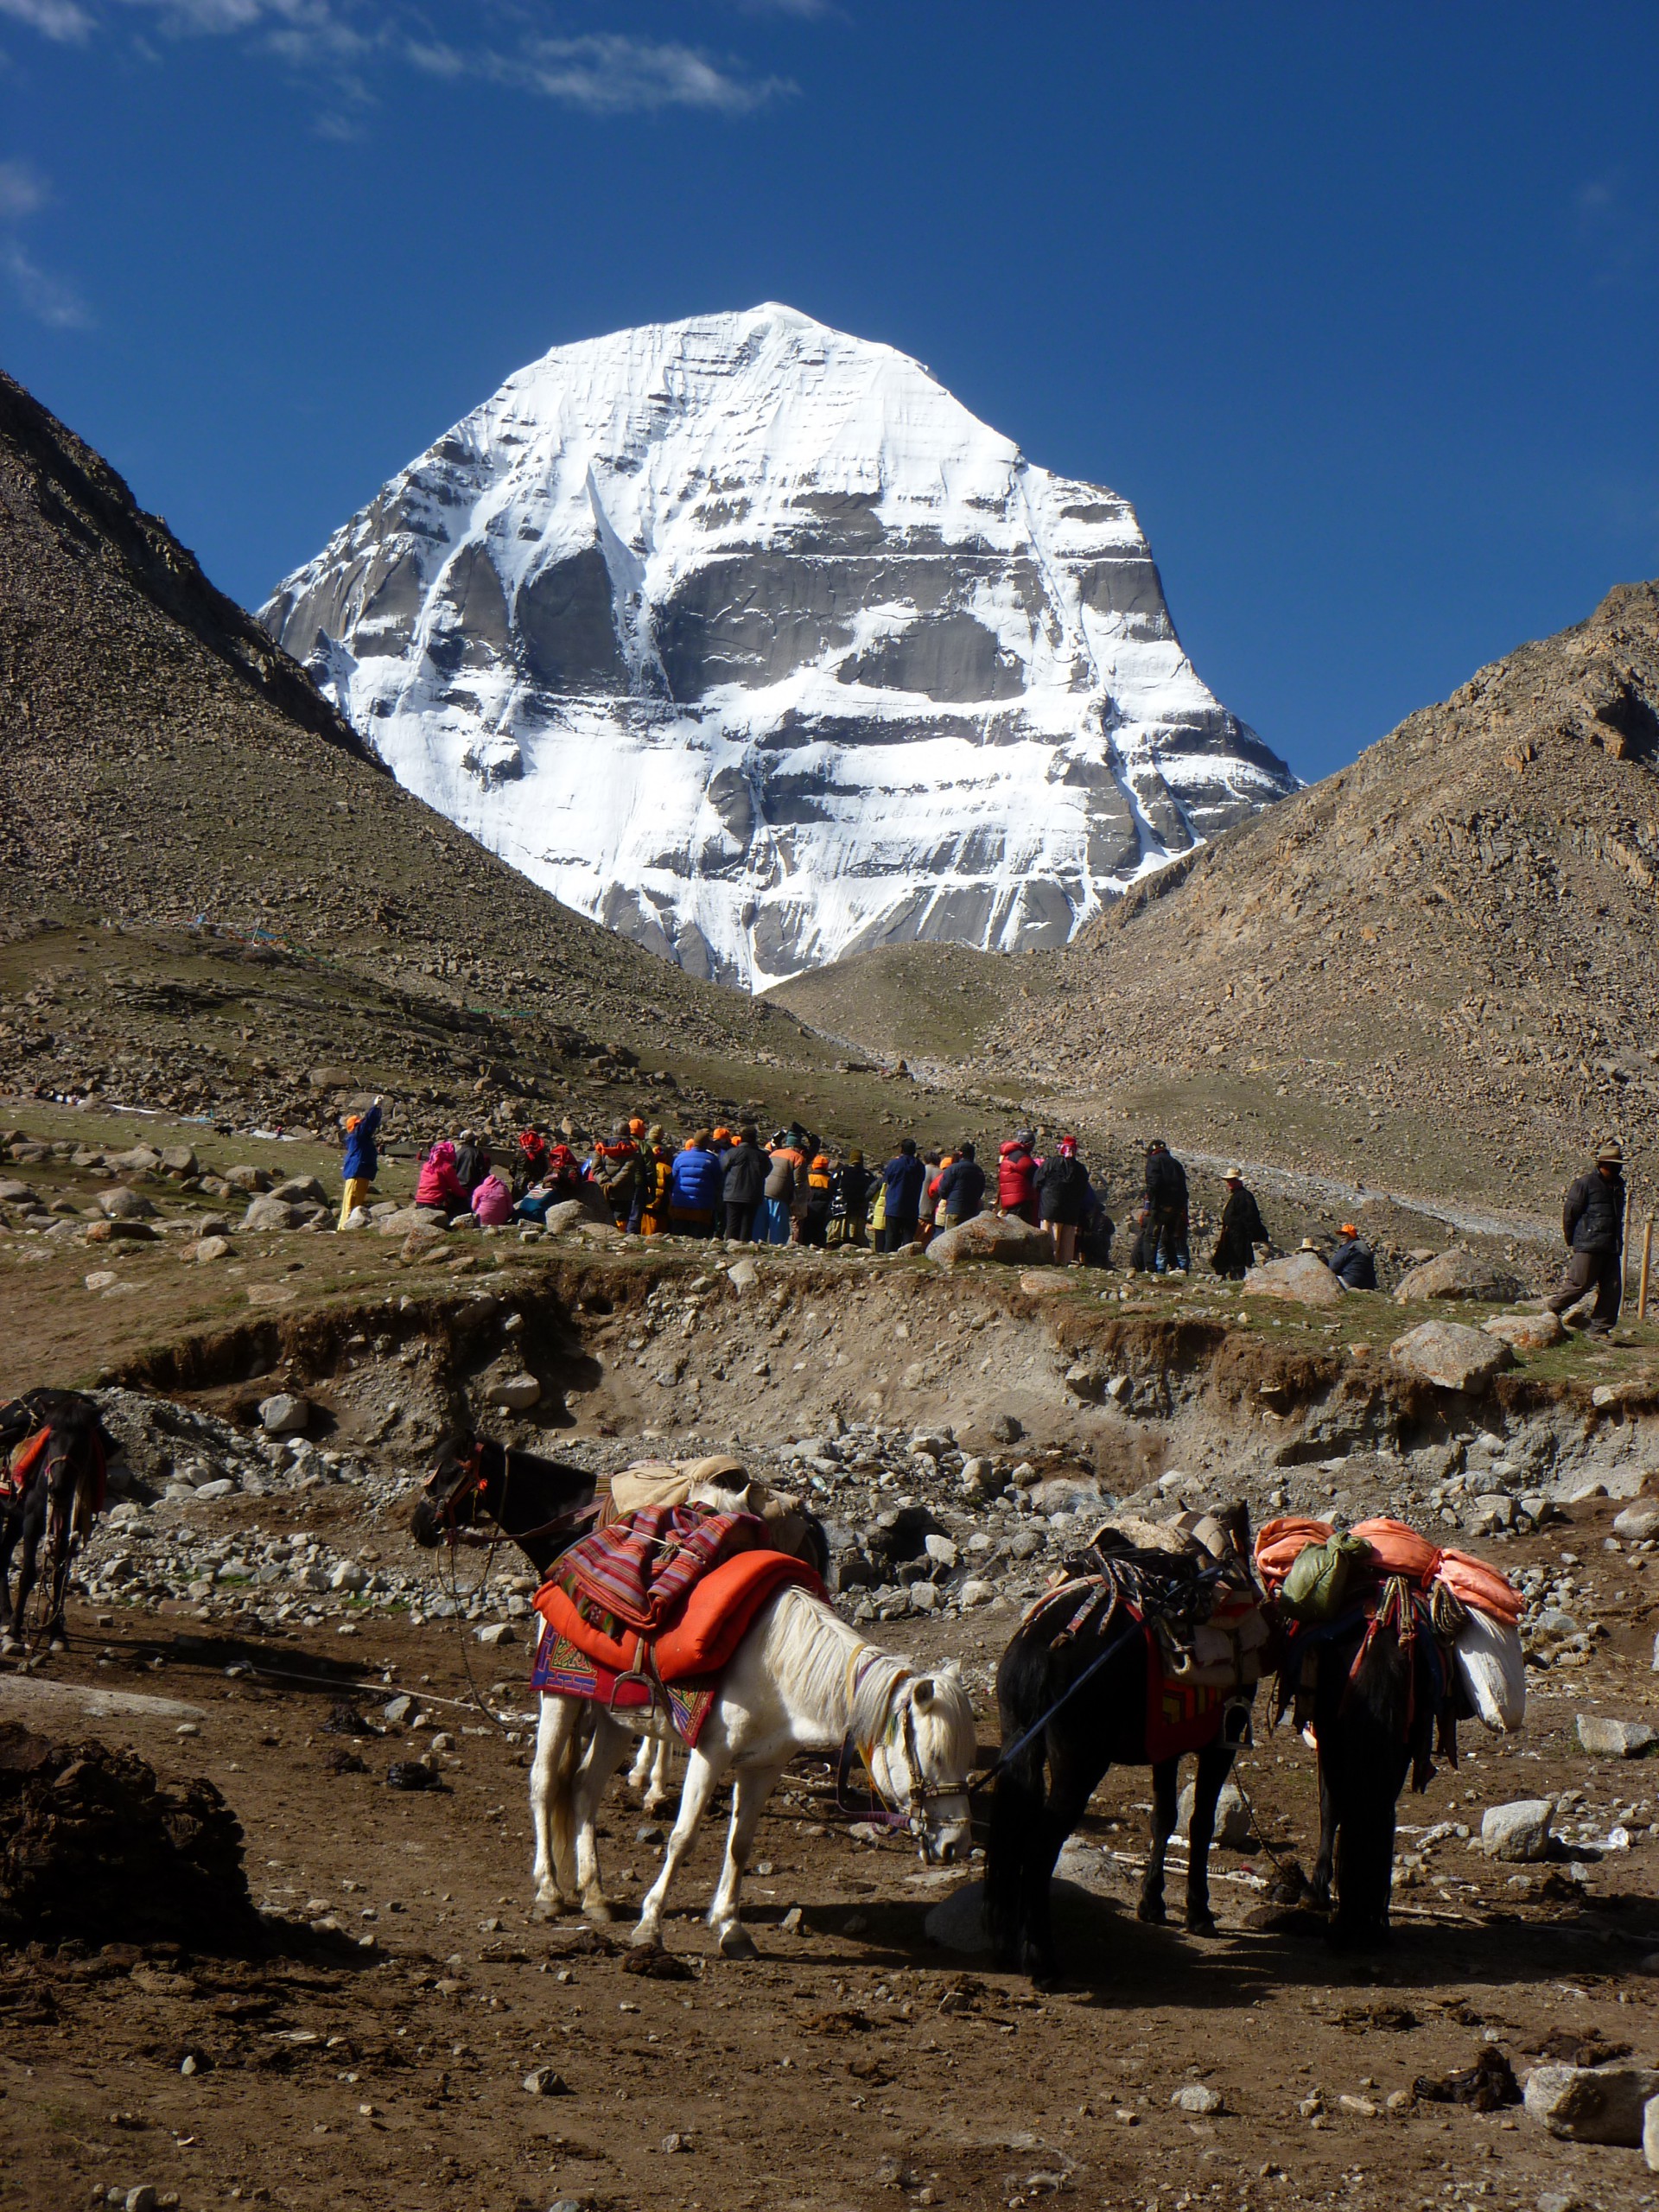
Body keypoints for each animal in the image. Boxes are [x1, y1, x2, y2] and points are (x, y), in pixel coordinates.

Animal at [0, 1389, 117, 1654]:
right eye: (50, 1437)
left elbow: (59, 1575)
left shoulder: (66, 1525)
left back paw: (5, 1616)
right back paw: (8, 1621)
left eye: (82, 1441)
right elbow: (28, 1574)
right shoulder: (32, 1521)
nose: (59, 1489)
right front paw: (14, 1634)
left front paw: (57, 1634)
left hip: (14, 1517)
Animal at [528, 1583, 973, 1964]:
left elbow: (740, 1846)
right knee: (545, 1783)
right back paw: (549, 1890)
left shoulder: (763, 1767)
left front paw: (731, 1929)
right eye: (933, 1756)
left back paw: (595, 1895)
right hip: (560, 1698)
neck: (776, 1669)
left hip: (617, 1720)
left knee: (585, 1788)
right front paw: (650, 1925)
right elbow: (682, 1838)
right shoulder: (710, 1755)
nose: (957, 1845)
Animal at [986, 1530, 1256, 1981]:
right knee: (1040, 1844)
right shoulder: (1223, 1740)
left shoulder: (1167, 1741)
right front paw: (1198, 1913)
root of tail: (1041, 1649)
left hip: (1016, 1739)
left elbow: (1163, 1817)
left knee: (1011, 1830)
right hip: (1080, 1763)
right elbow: (1200, 1822)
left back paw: (1006, 1946)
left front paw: (1152, 1904)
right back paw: (1042, 1961)